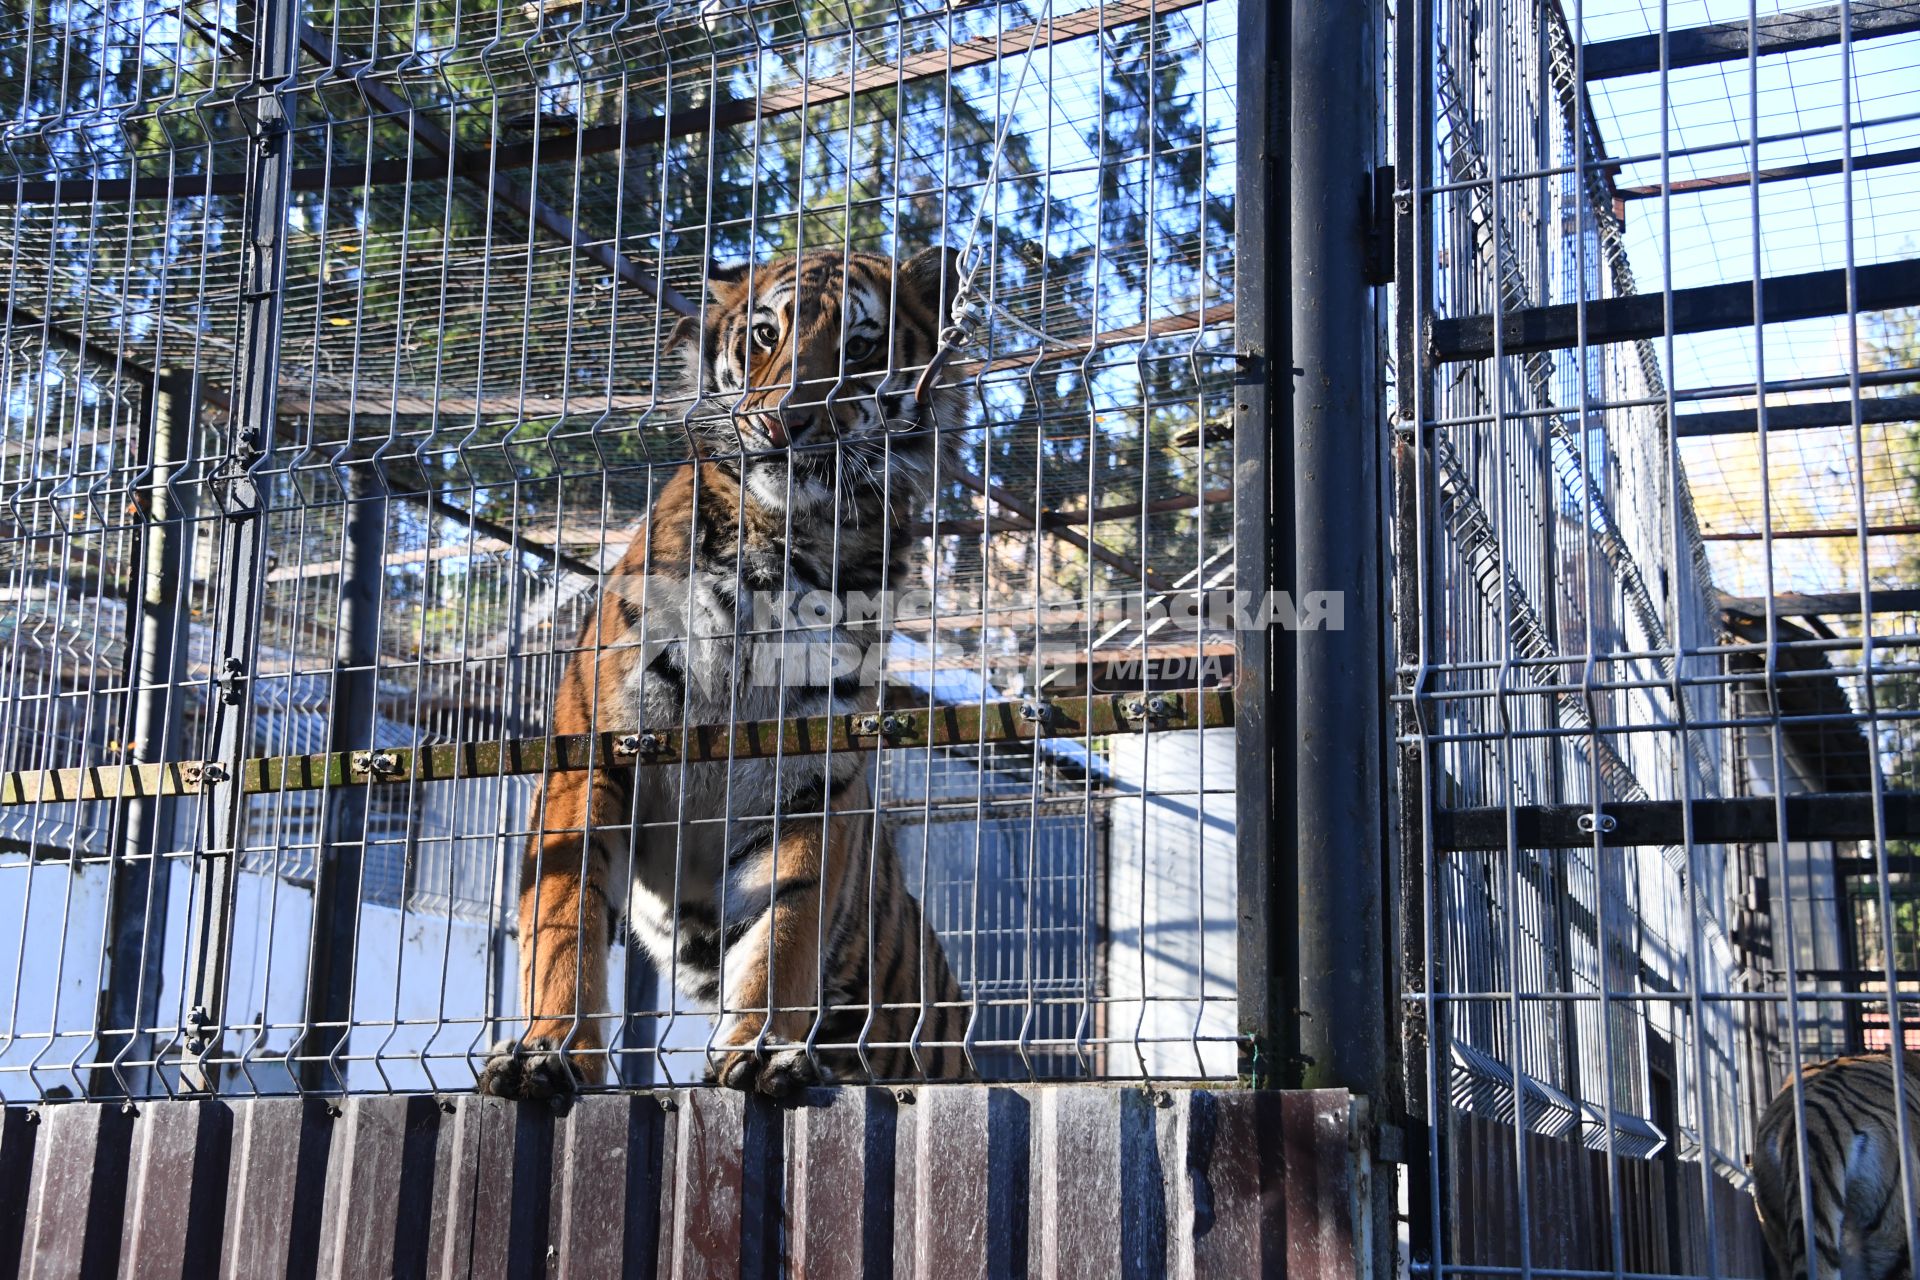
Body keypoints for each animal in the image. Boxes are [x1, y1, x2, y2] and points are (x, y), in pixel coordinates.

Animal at [472, 242, 967, 1105]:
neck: (785, 550)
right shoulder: (590, 756)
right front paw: (546, 1051)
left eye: (862, 346)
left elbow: (784, 924)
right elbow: (564, 919)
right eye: (766, 334)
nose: (782, 420)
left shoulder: (809, 779)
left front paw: (761, 1049)